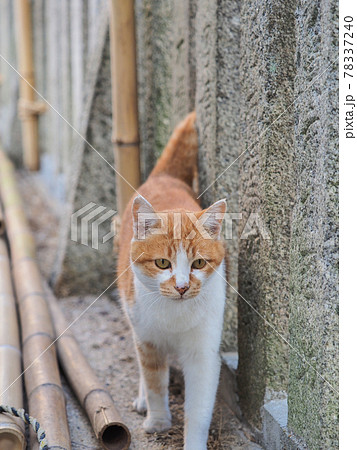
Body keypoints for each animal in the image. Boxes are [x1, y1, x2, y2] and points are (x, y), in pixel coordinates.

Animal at [118, 111, 227, 450]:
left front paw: (193, 442)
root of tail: (165, 177)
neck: (175, 316)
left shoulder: (203, 353)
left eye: (199, 263)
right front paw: (158, 420)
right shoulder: (148, 340)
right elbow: (154, 381)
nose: (181, 287)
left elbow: (199, 409)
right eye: (163, 263)